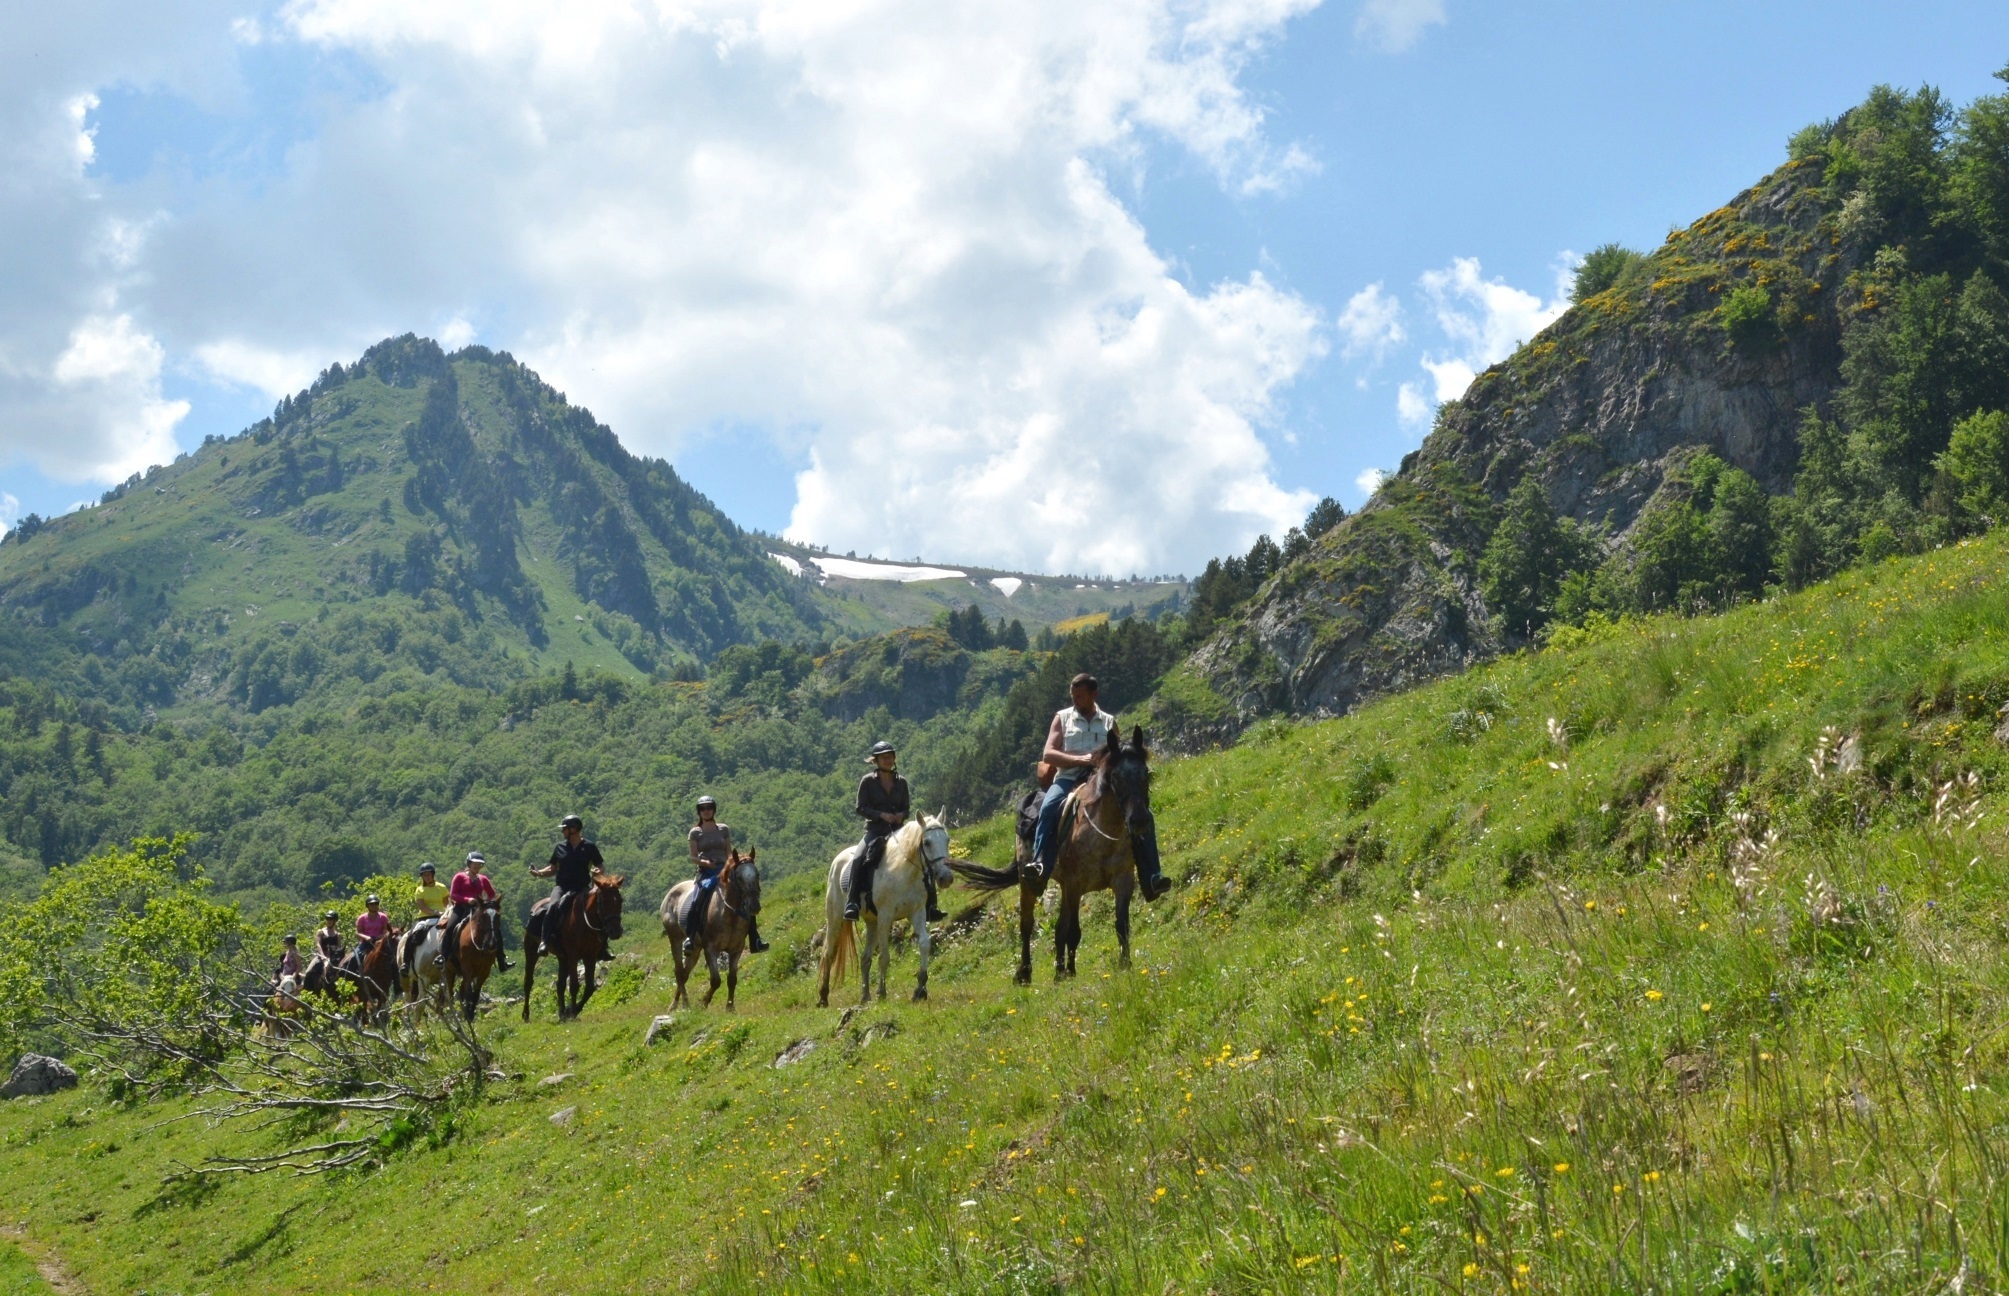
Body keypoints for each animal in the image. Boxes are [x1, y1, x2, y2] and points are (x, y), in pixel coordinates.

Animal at [526, 868, 626, 1020]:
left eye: (620, 900)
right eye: (603, 901)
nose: (615, 932)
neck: (585, 921)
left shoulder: (590, 956)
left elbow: (589, 987)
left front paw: (571, 1010)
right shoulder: (573, 955)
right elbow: (574, 986)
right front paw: (572, 1012)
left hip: (562, 958)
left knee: (560, 984)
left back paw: (562, 1013)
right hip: (531, 951)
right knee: (528, 981)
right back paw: (526, 1015)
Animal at [658, 847, 759, 1012]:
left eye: (757, 874)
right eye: (738, 877)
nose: (754, 906)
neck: (729, 914)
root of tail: (670, 894)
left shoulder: (736, 949)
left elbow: (732, 979)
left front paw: (730, 1007)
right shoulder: (711, 949)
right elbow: (716, 980)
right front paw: (703, 1003)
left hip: (695, 948)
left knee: (684, 973)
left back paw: (677, 1004)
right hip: (675, 940)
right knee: (678, 971)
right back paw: (683, 1004)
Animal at [815, 815, 956, 1004]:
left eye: (947, 840)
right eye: (926, 842)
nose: (946, 878)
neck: (903, 871)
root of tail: (838, 860)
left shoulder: (917, 913)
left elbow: (925, 944)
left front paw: (920, 989)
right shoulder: (885, 917)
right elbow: (884, 957)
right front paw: (882, 992)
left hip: (872, 923)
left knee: (865, 958)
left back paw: (865, 996)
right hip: (836, 918)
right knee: (828, 954)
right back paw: (823, 997)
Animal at [952, 727, 1165, 980]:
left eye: (1145, 773)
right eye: (1115, 777)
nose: (1139, 821)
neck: (1105, 833)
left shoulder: (1123, 880)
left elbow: (1120, 924)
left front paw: (1125, 965)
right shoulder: (1075, 884)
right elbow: (1073, 931)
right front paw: (1071, 973)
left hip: (1063, 887)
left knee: (1058, 927)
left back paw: (1059, 971)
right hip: (1029, 881)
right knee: (1027, 924)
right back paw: (1025, 973)